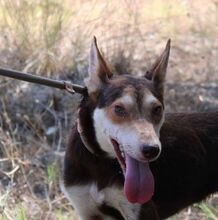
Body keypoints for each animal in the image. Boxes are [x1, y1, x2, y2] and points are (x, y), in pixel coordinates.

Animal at [61, 37, 218, 219]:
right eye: (119, 109)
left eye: (157, 109)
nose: (152, 150)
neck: (99, 162)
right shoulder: (87, 210)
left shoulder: (140, 211)